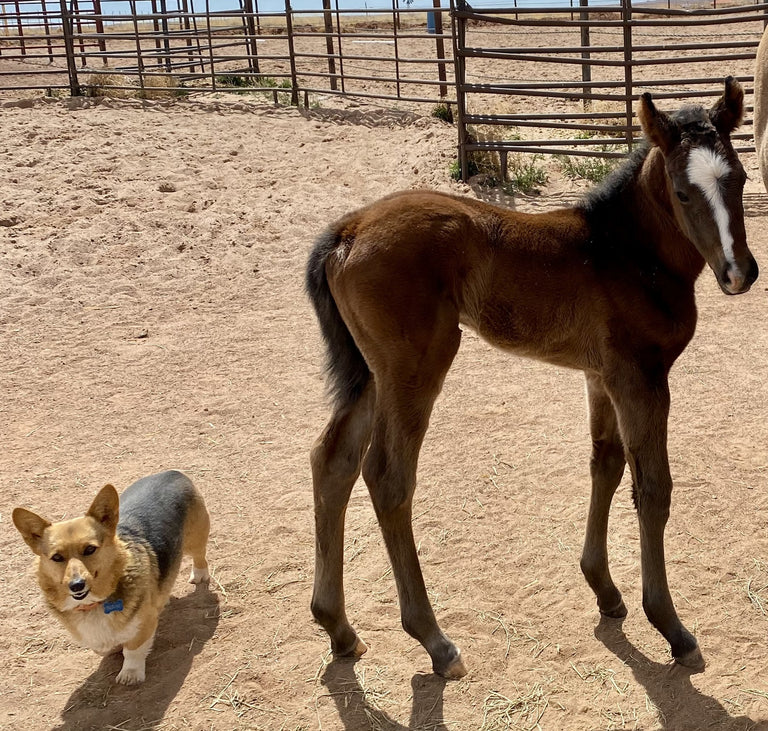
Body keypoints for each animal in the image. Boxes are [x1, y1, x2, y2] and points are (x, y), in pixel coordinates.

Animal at [306, 77, 758, 679]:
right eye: (684, 194)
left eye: (742, 177)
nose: (740, 273)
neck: (623, 254)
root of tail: (348, 230)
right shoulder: (642, 378)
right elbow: (653, 489)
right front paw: (671, 628)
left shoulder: (601, 375)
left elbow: (606, 465)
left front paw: (605, 590)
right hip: (414, 367)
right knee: (386, 477)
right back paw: (435, 641)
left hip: (369, 373)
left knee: (333, 462)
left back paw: (338, 627)